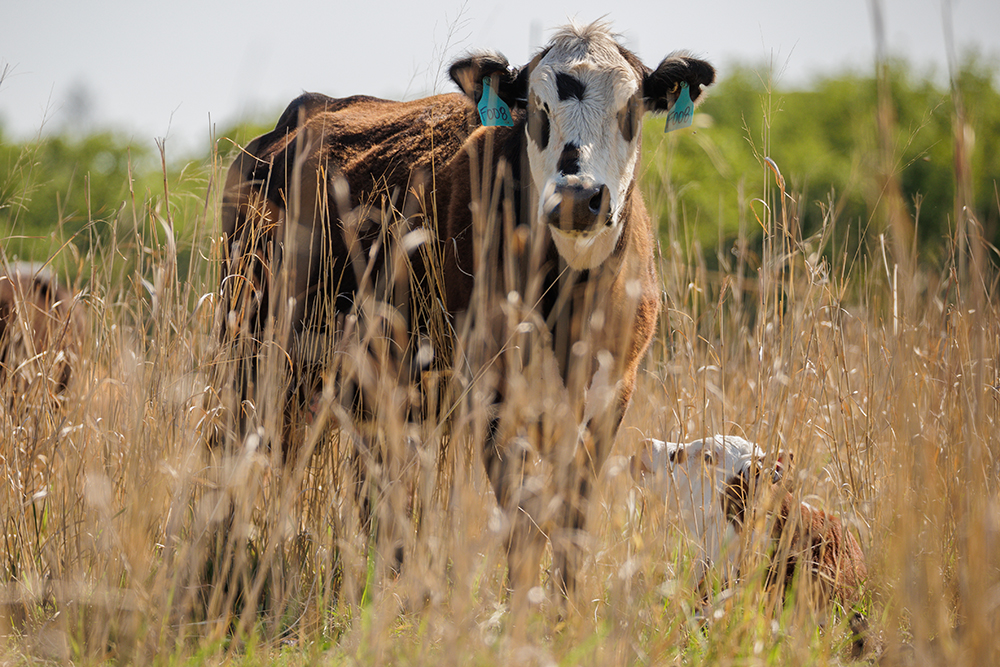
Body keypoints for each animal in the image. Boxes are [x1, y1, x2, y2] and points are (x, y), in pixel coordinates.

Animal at [217, 20, 720, 608]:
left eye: (632, 107)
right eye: (536, 108)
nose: (577, 197)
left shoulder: (611, 392)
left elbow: (571, 514)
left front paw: (566, 611)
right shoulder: (495, 392)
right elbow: (523, 518)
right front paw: (525, 606)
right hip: (256, 357)